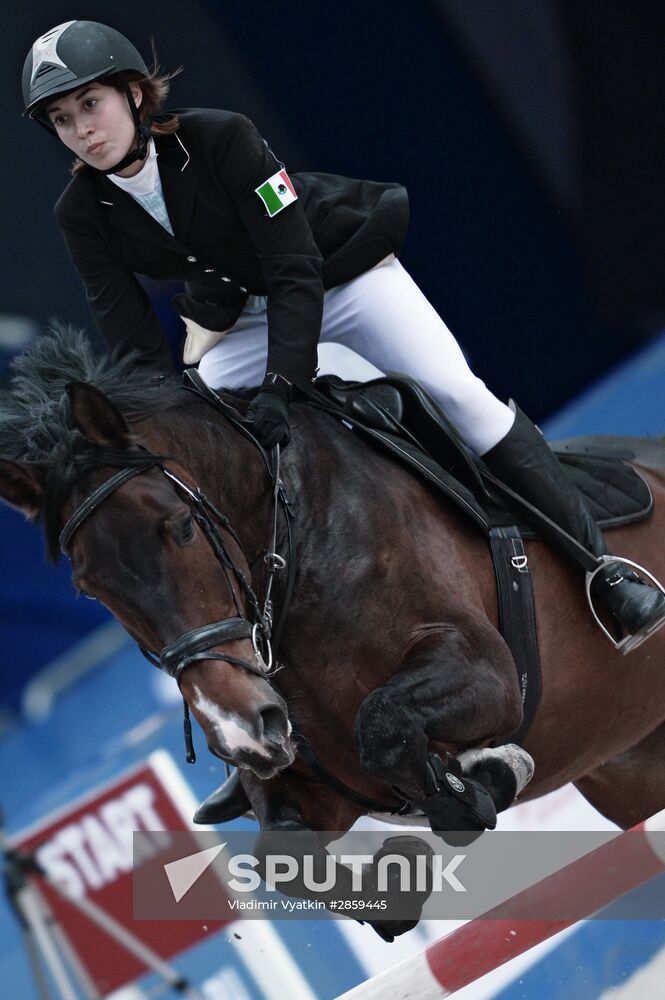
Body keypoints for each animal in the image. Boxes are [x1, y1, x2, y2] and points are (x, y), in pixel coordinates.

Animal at [1, 330, 664, 844]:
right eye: (89, 590)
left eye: (183, 526)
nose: (237, 727)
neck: (297, 559)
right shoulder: (304, 782)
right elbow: (285, 847)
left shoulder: (488, 672)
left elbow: (386, 726)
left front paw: (490, 774)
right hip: (630, 769)